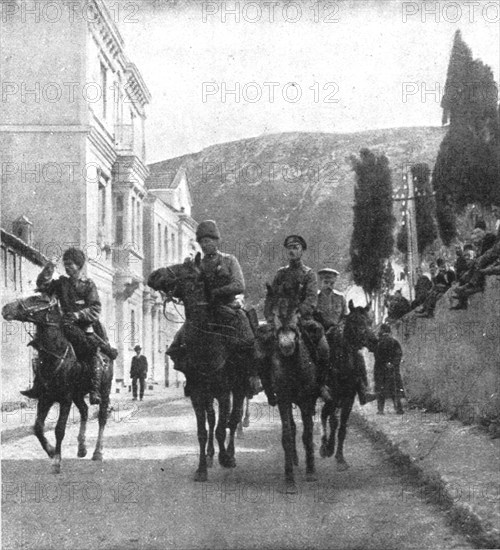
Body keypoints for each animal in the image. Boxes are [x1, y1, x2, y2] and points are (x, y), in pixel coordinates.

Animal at [2, 294, 113, 474]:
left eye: (35, 298)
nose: (5, 308)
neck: (55, 354)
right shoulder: (45, 398)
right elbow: (37, 427)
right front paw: (51, 451)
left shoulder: (65, 399)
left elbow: (59, 429)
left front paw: (56, 461)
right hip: (78, 395)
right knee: (84, 411)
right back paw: (82, 447)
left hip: (104, 391)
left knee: (102, 417)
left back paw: (98, 452)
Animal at [148, 256, 250, 486]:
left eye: (184, 268)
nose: (153, 275)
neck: (206, 340)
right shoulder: (197, 392)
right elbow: (203, 431)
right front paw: (202, 468)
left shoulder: (223, 392)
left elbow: (223, 427)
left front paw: (224, 457)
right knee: (213, 420)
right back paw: (212, 455)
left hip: (238, 388)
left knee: (234, 419)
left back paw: (230, 455)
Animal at [256, 286, 318, 494]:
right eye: (274, 313)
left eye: (298, 311)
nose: (287, 344)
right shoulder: (283, 399)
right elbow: (287, 435)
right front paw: (289, 479)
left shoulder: (307, 400)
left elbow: (308, 433)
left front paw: (311, 471)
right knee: (291, 427)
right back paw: (294, 458)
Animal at [318, 302, 374, 470]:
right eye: (355, 322)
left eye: (370, 321)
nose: (374, 340)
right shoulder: (332, 397)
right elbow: (333, 422)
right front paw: (329, 448)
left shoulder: (349, 398)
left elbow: (342, 427)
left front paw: (340, 458)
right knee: (324, 415)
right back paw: (323, 447)